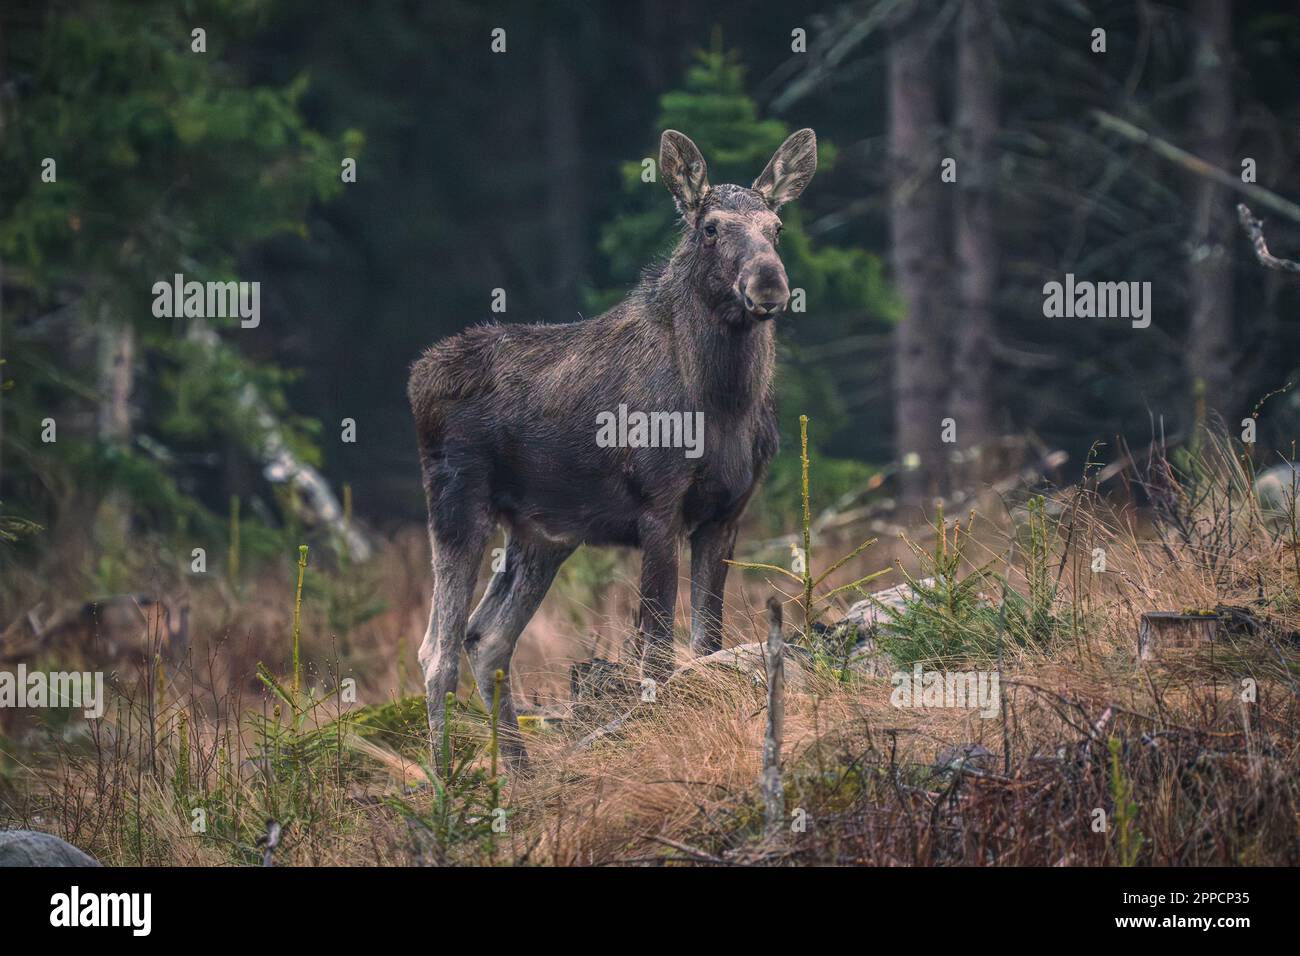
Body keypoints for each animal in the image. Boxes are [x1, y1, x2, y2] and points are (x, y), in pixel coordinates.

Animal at [408, 128, 811, 770]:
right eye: (709, 227)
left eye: (776, 226)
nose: (769, 285)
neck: (721, 403)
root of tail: (418, 377)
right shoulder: (657, 508)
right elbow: (657, 651)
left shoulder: (726, 515)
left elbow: (706, 642)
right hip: (455, 504)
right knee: (436, 652)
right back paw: (448, 779)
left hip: (542, 534)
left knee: (486, 636)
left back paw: (519, 773)